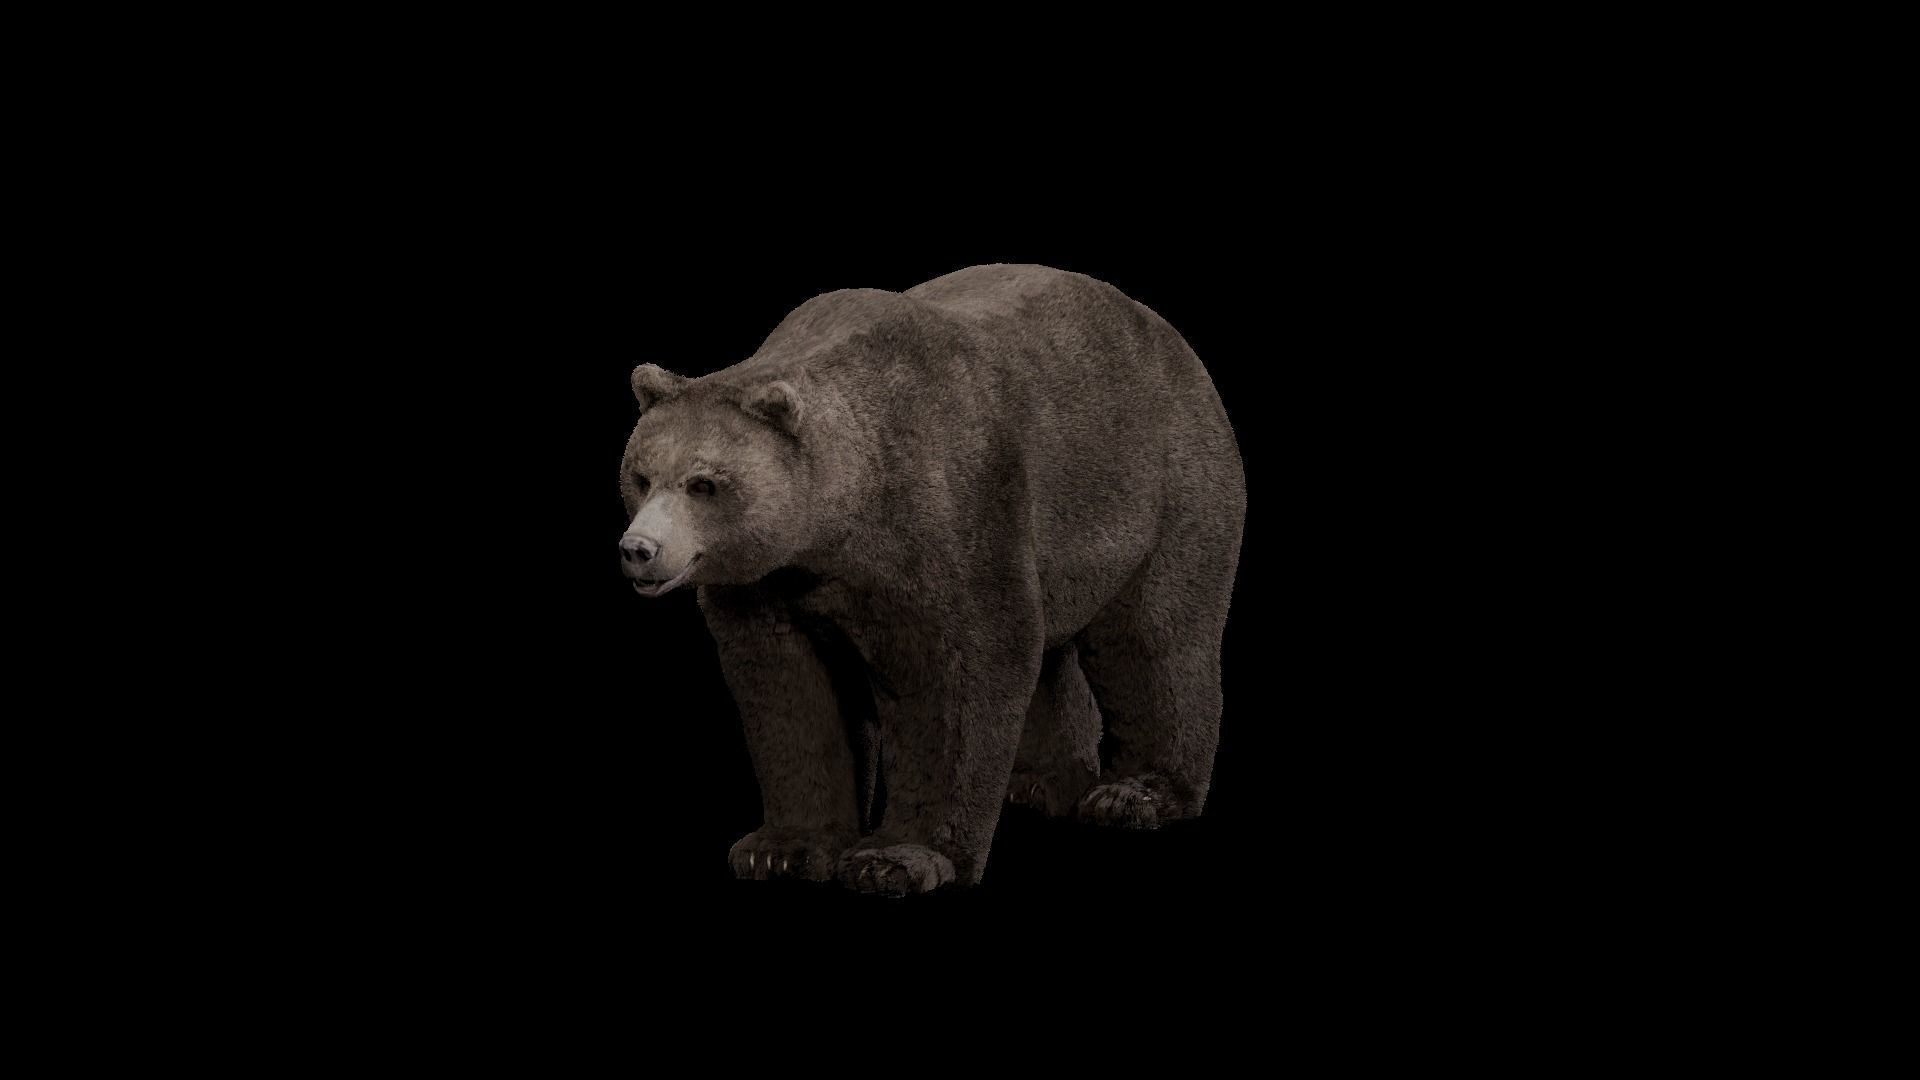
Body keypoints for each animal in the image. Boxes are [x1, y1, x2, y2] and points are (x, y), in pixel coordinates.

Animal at [618, 264, 1245, 896]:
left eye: (703, 483)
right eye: (641, 476)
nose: (639, 549)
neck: (838, 524)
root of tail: (1168, 336)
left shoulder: (951, 513)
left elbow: (961, 670)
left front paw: (896, 858)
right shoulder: (767, 584)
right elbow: (788, 689)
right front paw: (781, 850)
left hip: (1160, 486)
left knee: (1152, 637)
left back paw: (1134, 792)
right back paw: (1039, 781)